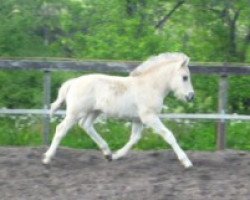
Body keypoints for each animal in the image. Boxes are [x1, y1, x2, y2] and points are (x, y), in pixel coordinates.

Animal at [42, 52, 195, 168]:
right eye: (185, 77)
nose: (191, 96)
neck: (150, 86)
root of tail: (73, 82)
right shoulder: (149, 117)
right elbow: (168, 135)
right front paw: (186, 162)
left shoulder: (138, 119)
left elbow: (134, 138)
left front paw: (116, 156)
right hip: (76, 112)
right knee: (61, 129)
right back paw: (47, 158)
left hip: (94, 111)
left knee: (86, 125)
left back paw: (107, 153)